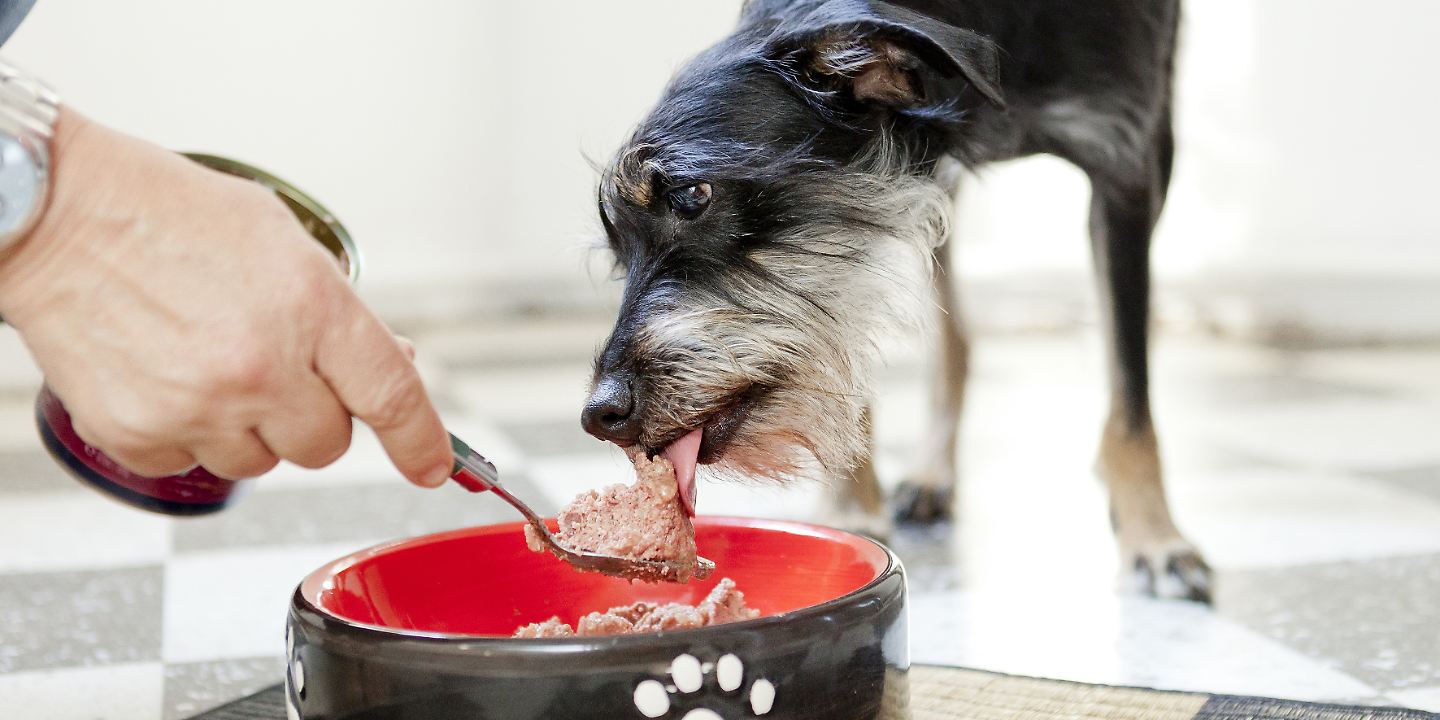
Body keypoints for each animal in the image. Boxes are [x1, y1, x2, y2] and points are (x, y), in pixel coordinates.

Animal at [578, 0, 1209, 601]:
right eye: (618, 256)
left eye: (692, 193)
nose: (599, 416)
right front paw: (849, 510)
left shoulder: (1128, 163)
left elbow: (1131, 395)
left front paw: (1155, 540)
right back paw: (930, 474)